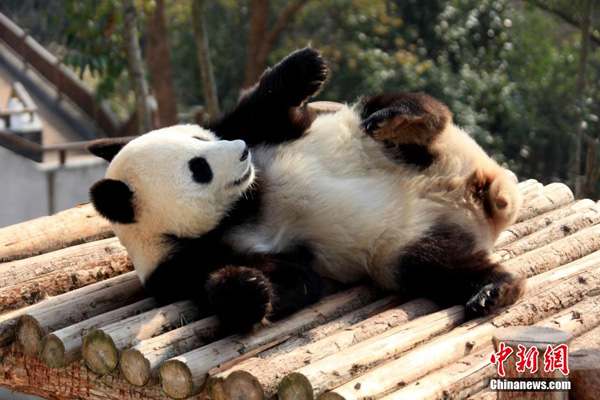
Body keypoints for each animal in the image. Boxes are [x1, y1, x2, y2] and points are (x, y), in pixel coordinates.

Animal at [89, 47, 524, 332]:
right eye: (199, 169)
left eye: (199, 138)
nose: (242, 153)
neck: (241, 204)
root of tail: (477, 198)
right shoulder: (179, 264)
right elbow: (293, 279)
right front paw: (247, 291)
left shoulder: (256, 131)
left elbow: (260, 108)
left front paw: (306, 64)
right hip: (404, 244)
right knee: (435, 263)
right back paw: (494, 289)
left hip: (388, 141)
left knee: (397, 111)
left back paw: (400, 121)